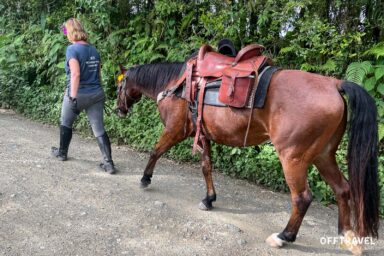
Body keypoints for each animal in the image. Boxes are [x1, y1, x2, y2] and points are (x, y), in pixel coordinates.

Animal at [115, 61, 380, 253]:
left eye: (119, 87)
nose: (119, 110)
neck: (178, 86)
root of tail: (334, 84)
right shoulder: (203, 136)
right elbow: (206, 167)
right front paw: (209, 199)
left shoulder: (175, 130)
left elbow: (155, 151)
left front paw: (145, 179)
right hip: (323, 155)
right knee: (342, 189)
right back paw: (346, 235)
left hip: (293, 158)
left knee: (302, 197)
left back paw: (284, 236)